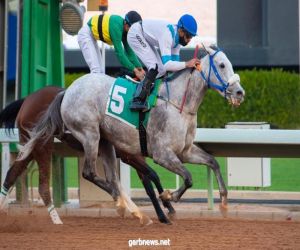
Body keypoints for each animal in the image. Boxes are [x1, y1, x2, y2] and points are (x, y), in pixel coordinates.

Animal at [0, 86, 176, 225]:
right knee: (43, 185)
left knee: (11, 175)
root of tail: (27, 100)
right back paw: (57, 220)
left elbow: (149, 182)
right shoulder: (130, 156)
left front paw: (164, 212)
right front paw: (166, 210)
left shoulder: (134, 156)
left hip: (29, 145)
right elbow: (153, 175)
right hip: (43, 144)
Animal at [18, 45, 244, 225]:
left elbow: (213, 162)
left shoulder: (185, 151)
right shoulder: (161, 154)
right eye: (221, 65)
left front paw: (224, 202)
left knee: (111, 177)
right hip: (90, 136)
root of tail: (67, 91)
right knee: (90, 173)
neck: (177, 103)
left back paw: (135, 211)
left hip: (106, 143)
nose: (240, 92)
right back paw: (120, 202)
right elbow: (187, 177)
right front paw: (169, 197)